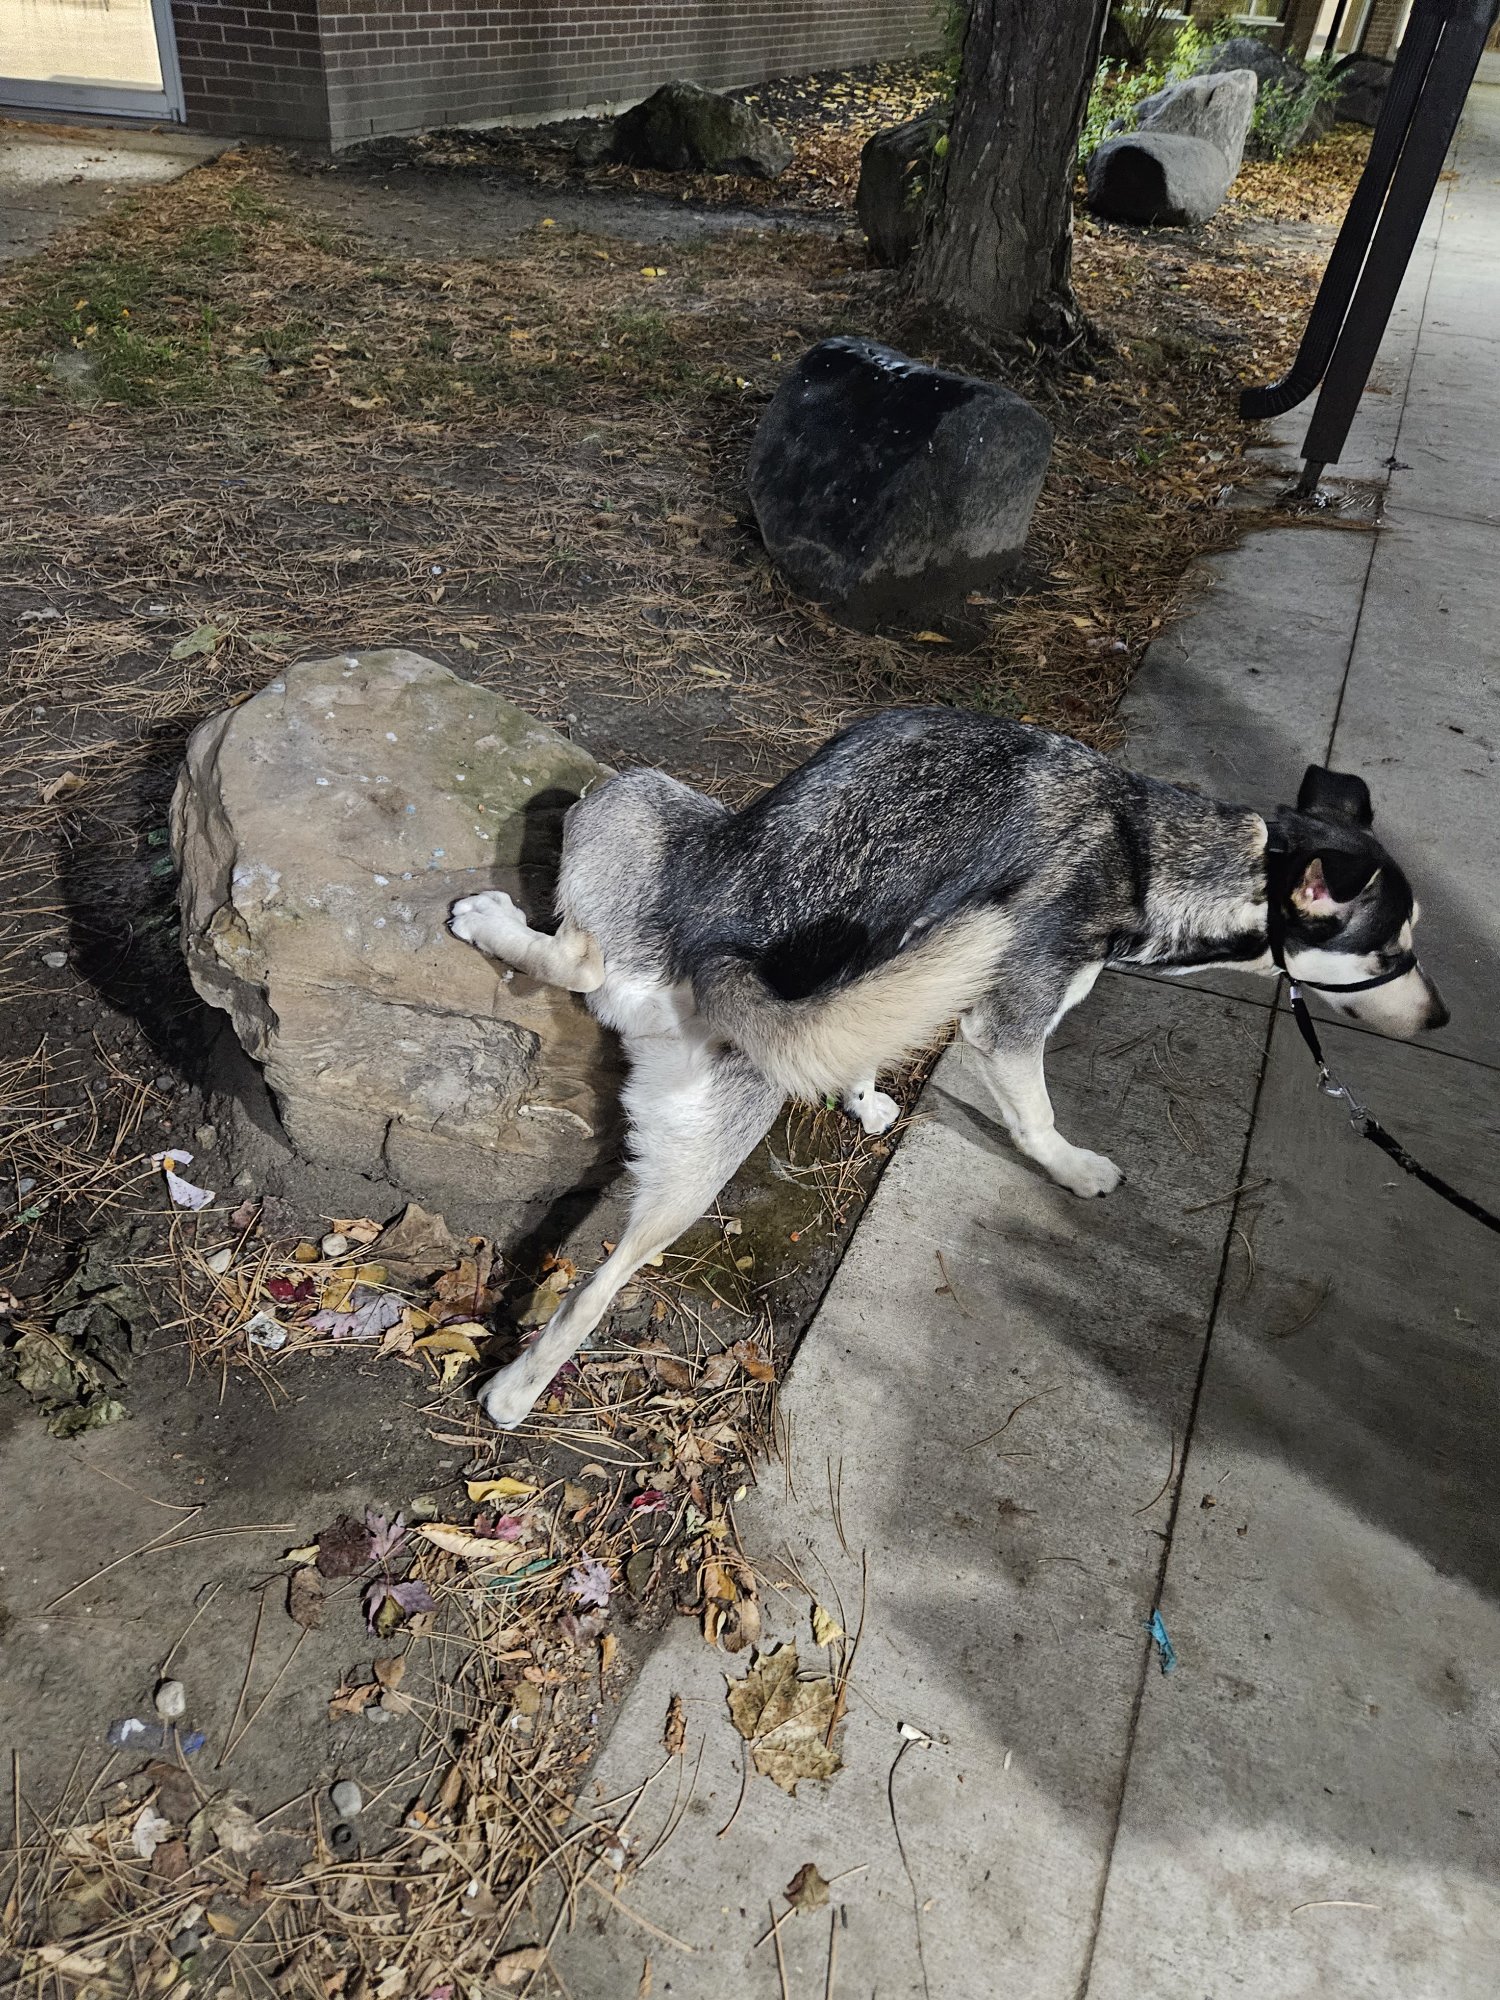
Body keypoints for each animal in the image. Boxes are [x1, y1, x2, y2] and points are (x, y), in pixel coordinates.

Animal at [450, 706, 1446, 1429]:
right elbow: (1037, 1119)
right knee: (578, 959)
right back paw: (490, 921)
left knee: (596, 1282)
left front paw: (862, 1099)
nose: (1442, 1017)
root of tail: (716, 945)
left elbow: (864, 1040)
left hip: (696, 1156)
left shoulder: (902, 978)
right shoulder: (1009, 1025)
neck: (1147, 851)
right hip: (626, 797)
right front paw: (1075, 1170)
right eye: (1391, 954)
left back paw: (516, 1391)